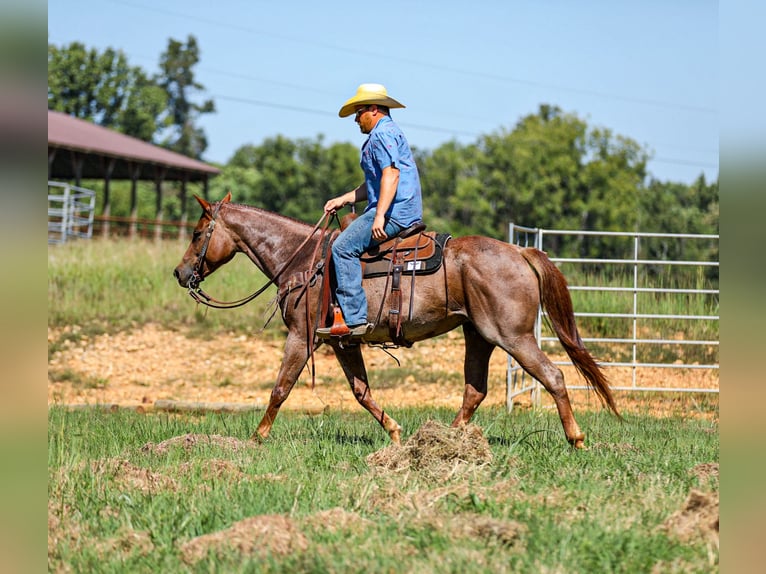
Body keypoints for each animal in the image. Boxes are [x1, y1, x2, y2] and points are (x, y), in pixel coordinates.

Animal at [173, 192, 619, 448]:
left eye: (197, 233)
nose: (180, 273)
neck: (301, 261)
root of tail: (520, 252)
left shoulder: (301, 337)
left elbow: (281, 388)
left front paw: (256, 438)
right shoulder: (342, 342)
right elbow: (361, 392)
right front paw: (395, 432)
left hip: (513, 336)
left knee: (553, 376)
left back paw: (576, 439)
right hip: (478, 335)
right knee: (474, 391)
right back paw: (441, 441)